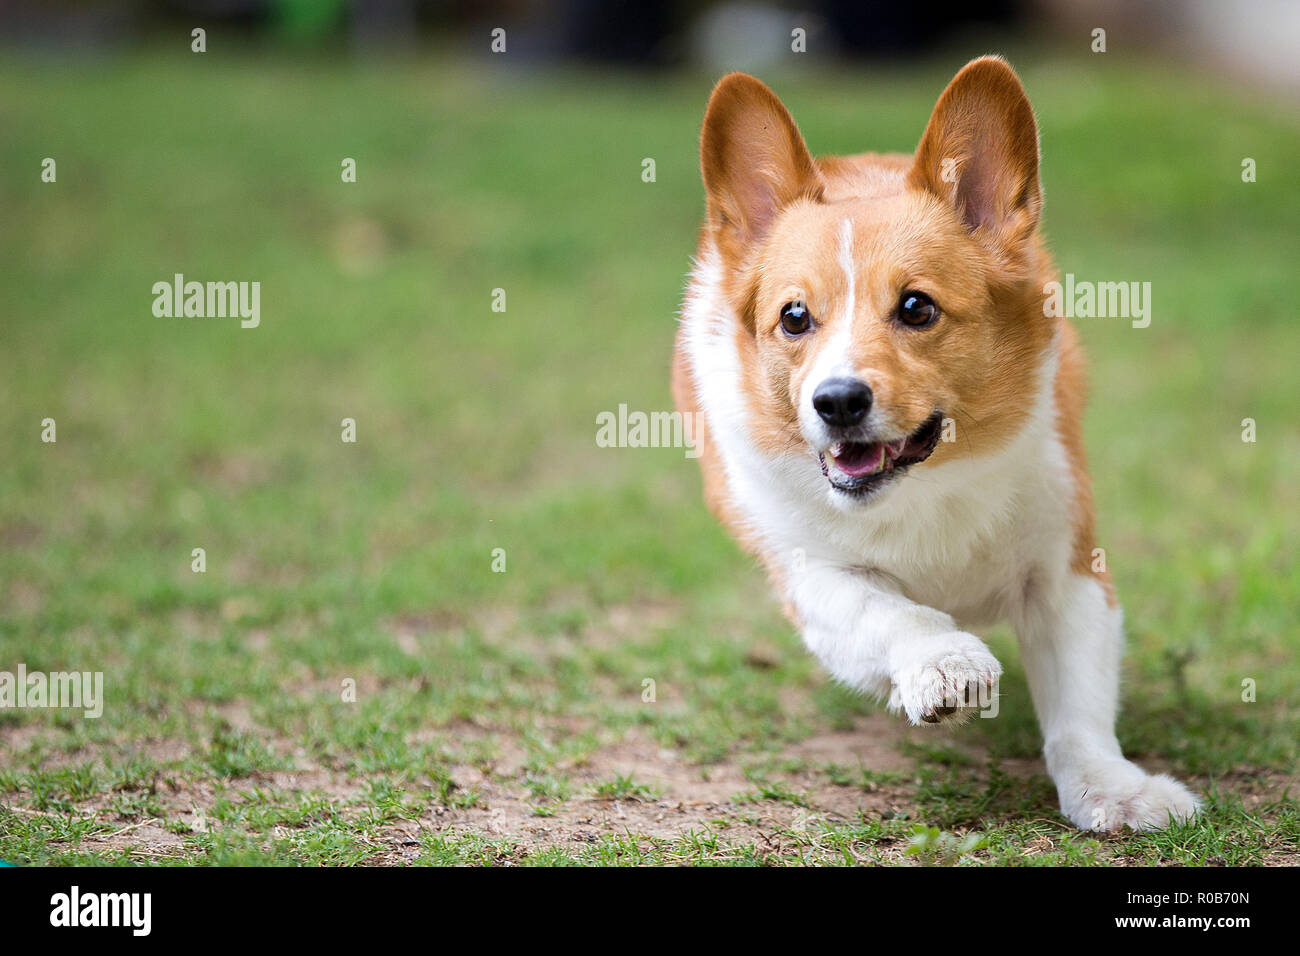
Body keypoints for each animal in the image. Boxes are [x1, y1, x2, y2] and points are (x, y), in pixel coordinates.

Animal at [676, 55, 1201, 832]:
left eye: (917, 307)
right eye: (795, 317)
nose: (837, 402)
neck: (927, 484)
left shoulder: (1068, 571)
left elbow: (1079, 706)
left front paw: (1114, 788)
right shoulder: (810, 574)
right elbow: (889, 609)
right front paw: (944, 664)